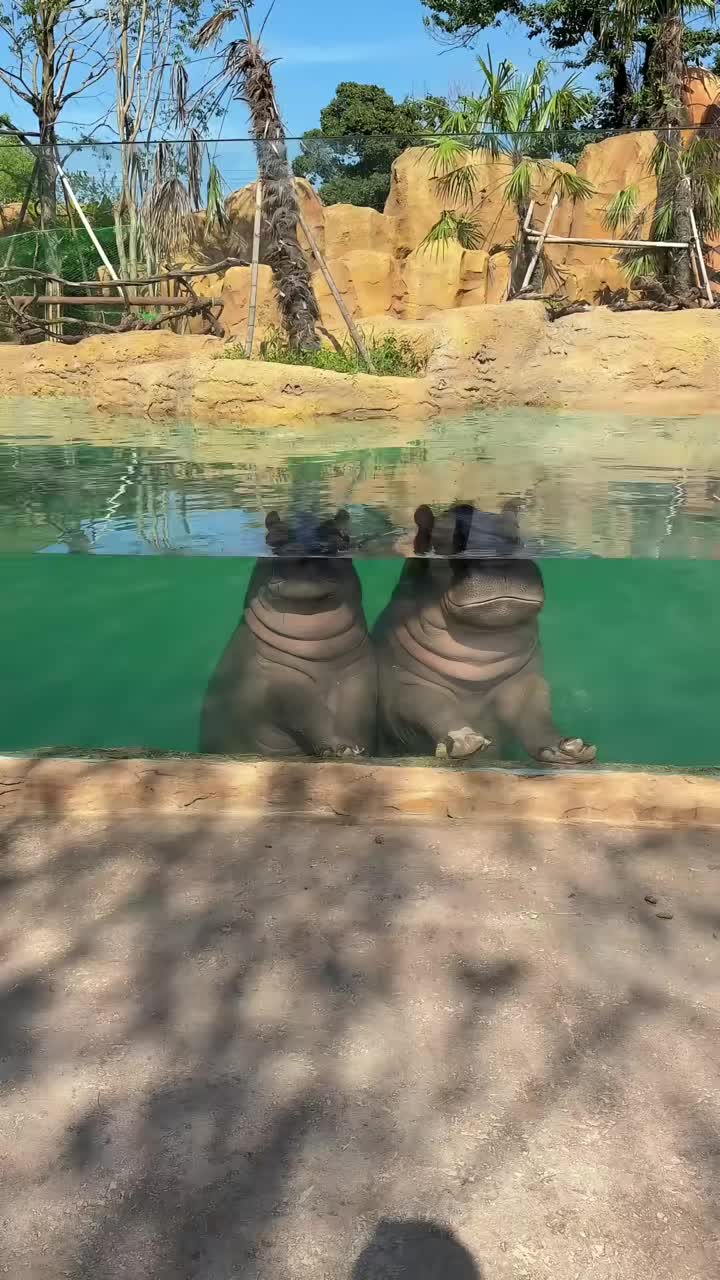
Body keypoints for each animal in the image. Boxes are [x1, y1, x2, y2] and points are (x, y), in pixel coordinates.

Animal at [200, 510, 377, 758]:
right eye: (272, 533)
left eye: (340, 534)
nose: (301, 555)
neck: (318, 650)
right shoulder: (272, 683)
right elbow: (306, 710)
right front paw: (340, 748)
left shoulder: (360, 675)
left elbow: (359, 713)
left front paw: (357, 750)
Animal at [374, 504, 596, 765]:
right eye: (443, 536)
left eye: (516, 530)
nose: (501, 565)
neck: (479, 656)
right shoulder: (406, 685)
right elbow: (434, 708)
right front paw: (465, 740)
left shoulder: (526, 681)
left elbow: (536, 715)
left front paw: (571, 748)